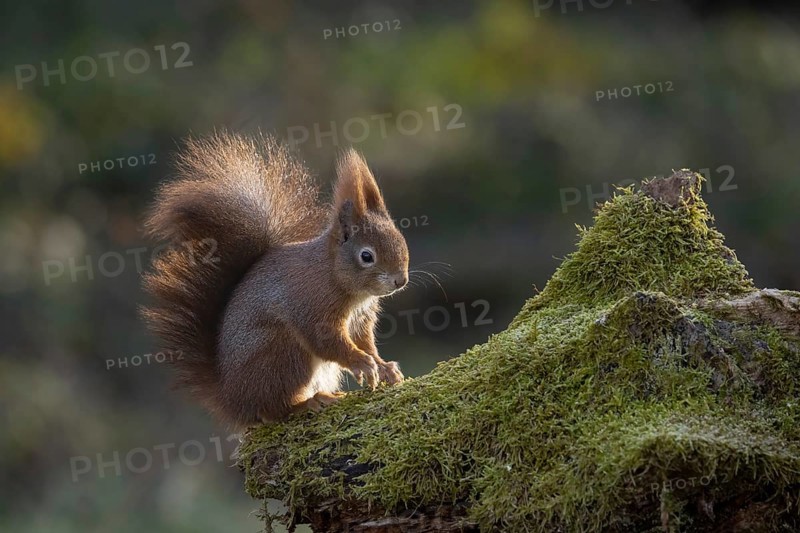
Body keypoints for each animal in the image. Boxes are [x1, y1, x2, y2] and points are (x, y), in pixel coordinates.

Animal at [141, 132, 408, 429]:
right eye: (366, 256)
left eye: (401, 239)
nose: (400, 281)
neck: (335, 276)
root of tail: (235, 403)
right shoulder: (312, 305)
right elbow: (327, 340)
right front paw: (361, 363)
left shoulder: (361, 319)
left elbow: (365, 341)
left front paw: (384, 367)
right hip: (283, 353)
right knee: (274, 410)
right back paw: (309, 402)